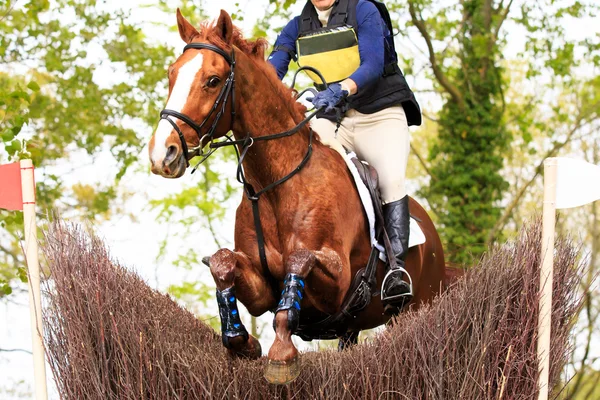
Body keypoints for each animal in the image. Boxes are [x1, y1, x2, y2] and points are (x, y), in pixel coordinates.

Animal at [148, 10, 448, 384]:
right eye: (172, 74)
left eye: (213, 80)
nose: (163, 154)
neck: (275, 183)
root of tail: (433, 234)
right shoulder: (262, 288)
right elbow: (223, 262)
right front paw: (241, 340)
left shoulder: (339, 283)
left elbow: (298, 262)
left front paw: (281, 354)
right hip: (353, 325)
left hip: (415, 304)